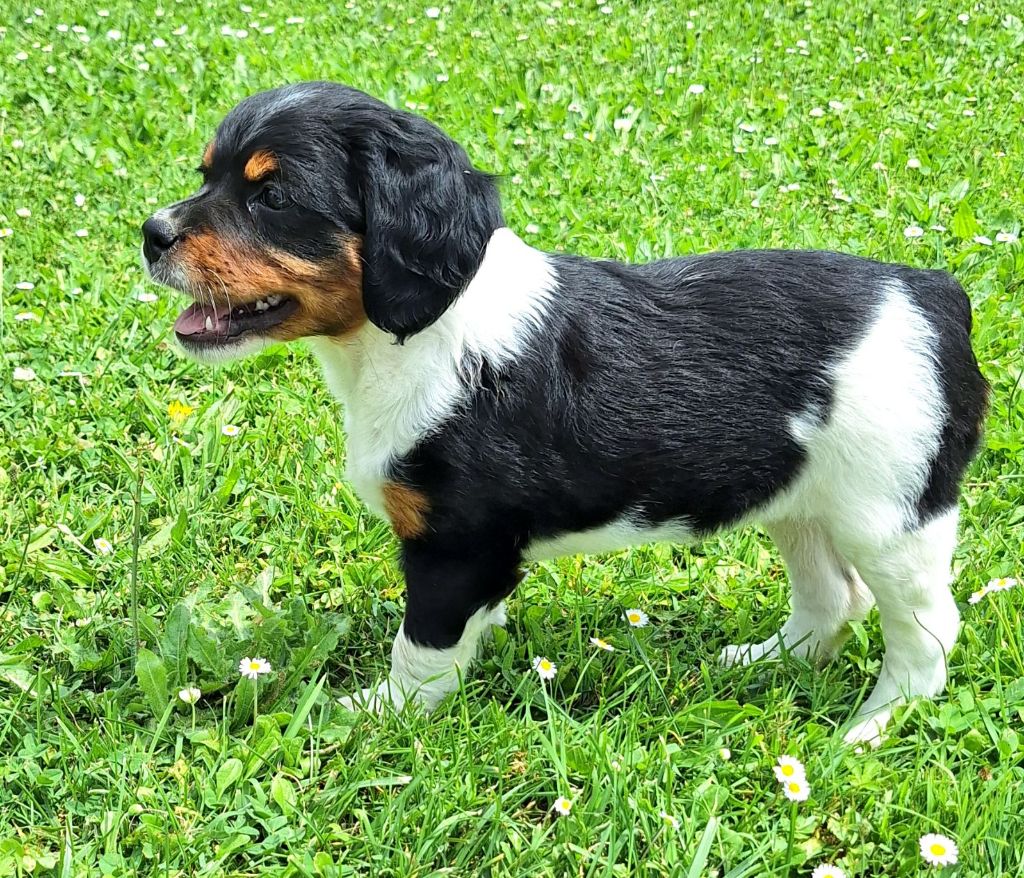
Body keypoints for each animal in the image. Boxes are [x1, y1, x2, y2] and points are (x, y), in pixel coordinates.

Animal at [142, 81, 983, 741]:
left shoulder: (458, 544)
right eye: (207, 174)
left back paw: (872, 726)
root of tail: (933, 292)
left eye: (274, 197)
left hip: (891, 516)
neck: (416, 336)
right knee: (833, 596)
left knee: (928, 630)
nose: (150, 234)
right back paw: (765, 662)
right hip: (802, 499)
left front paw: (380, 714)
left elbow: (423, 647)